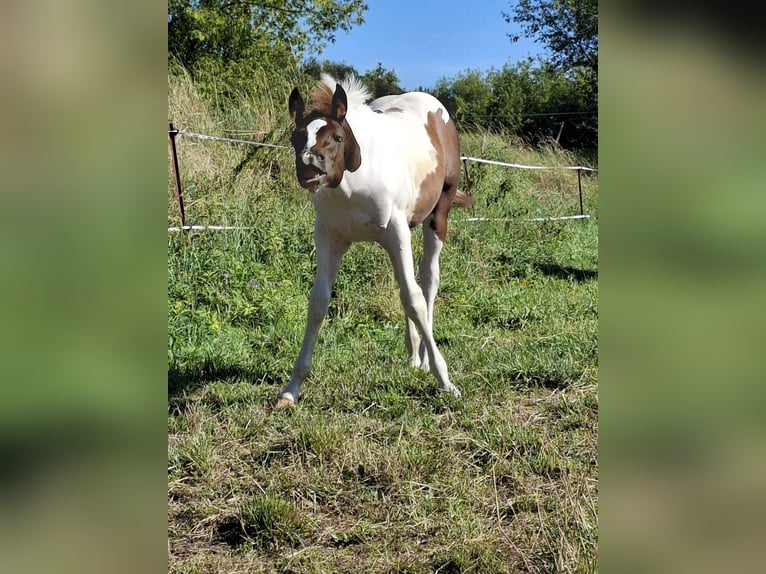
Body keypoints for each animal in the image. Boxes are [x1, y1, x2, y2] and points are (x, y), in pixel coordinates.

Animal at [280, 75, 474, 410]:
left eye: (337, 136)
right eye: (296, 137)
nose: (308, 168)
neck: (352, 184)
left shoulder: (396, 230)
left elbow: (414, 299)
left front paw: (445, 380)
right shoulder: (329, 237)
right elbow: (318, 303)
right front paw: (292, 388)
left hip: (437, 216)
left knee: (428, 281)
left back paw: (424, 357)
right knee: (406, 284)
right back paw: (413, 356)